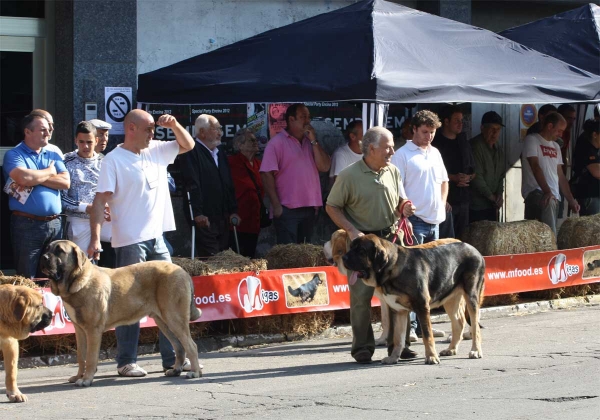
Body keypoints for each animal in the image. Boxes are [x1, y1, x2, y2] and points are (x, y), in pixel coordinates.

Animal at [41, 240, 204, 388]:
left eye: (60, 250)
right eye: (47, 248)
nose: (43, 257)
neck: (77, 280)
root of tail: (182, 271)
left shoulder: (93, 330)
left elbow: (91, 357)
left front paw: (86, 379)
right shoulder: (79, 330)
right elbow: (81, 356)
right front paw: (78, 376)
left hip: (174, 318)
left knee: (191, 346)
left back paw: (195, 372)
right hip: (163, 321)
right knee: (179, 346)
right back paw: (176, 370)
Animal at [342, 235, 482, 366]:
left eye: (361, 250)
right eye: (351, 247)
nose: (344, 258)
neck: (392, 267)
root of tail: (474, 249)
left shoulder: (422, 307)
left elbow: (427, 335)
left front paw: (431, 356)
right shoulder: (399, 311)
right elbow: (398, 338)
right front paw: (393, 358)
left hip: (471, 297)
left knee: (475, 327)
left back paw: (475, 351)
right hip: (450, 299)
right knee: (459, 322)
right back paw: (451, 349)